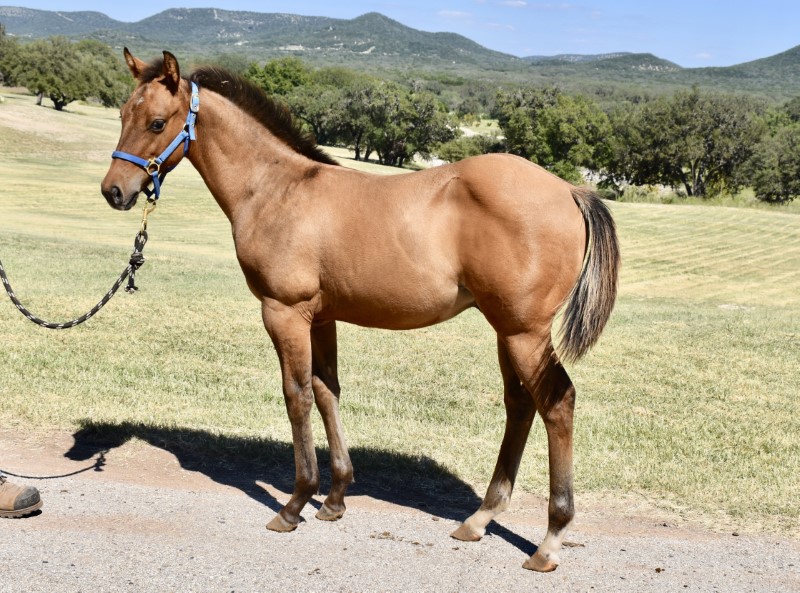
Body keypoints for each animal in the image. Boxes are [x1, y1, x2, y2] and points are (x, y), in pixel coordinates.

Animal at [103, 49, 620, 568]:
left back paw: (550, 538)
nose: (114, 191)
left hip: (523, 332)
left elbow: (296, 395)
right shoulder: (321, 317)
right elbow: (326, 390)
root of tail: (570, 191)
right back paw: (479, 519)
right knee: (520, 405)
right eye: (123, 113)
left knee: (557, 403)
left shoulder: (283, 312)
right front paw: (334, 499)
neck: (276, 189)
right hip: (506, 330)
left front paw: (295, 503)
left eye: (156, 122)